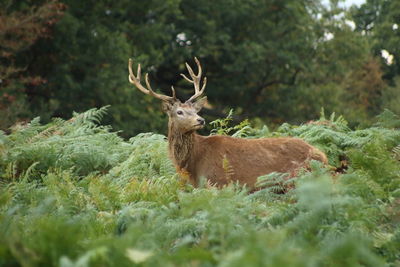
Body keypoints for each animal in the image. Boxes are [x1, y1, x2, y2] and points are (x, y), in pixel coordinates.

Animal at [128, 57, 328, 191]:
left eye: (196, 111)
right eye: (179, 112)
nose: (200, 120)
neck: (193, 165)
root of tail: (323, 156)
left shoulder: (217, 182)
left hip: (296, 178)